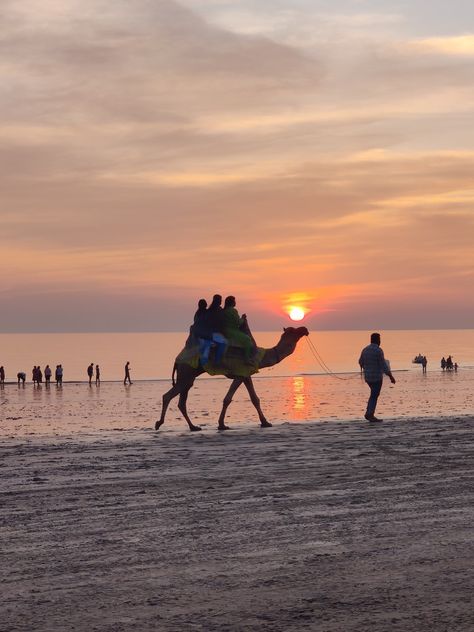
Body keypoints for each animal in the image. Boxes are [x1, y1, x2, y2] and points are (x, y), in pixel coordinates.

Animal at [156, 328, 310, 432]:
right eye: (294, 330)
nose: (305, 329)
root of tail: (177, 359)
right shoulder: (240, 374)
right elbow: (228, 398)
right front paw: (222, 425)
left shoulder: (247, 375)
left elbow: (255, 399)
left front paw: (265, 422)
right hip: (186, 372)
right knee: (168, 396)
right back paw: (159, 423)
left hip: (188, 375)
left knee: (182, 401)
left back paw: (193, 427)